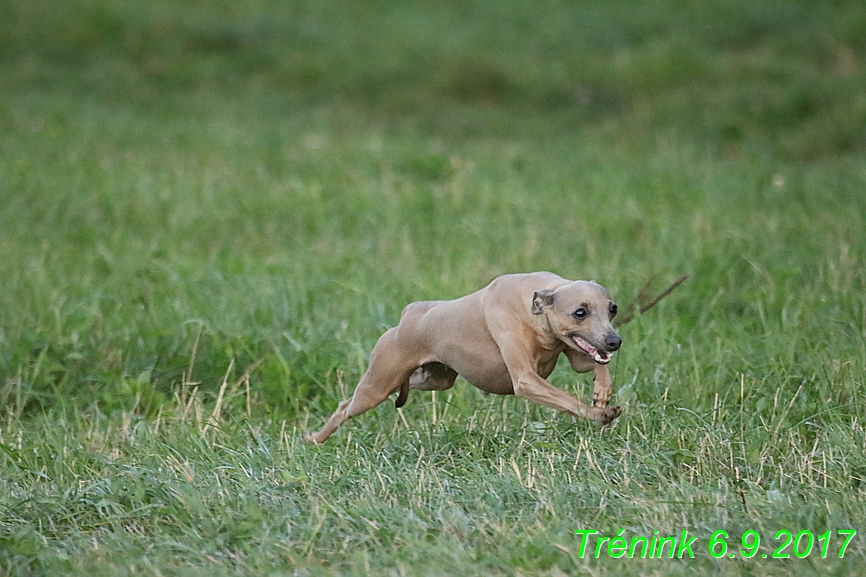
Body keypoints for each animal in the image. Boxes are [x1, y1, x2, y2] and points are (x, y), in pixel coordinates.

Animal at [304, 272, 620, 444]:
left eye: (613, 308)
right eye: (580, 312)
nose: (615, 341)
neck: (532, 307)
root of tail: (408, 314)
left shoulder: (579, 354)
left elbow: (596, 364)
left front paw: (602, 392)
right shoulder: (526, 379)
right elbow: (568, 401)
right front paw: (598, 413)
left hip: (433, 379)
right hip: (377, 386)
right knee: (344, 407)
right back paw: (315, 439)